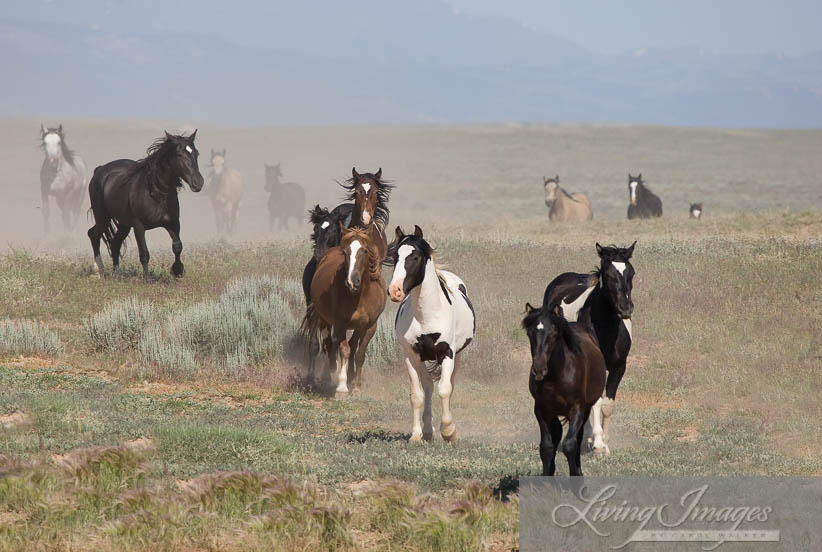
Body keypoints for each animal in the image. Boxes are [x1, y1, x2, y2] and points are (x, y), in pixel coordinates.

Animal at [87, 130, 205, 280]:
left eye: (196, 153)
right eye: (179, 154)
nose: (198, 182)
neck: (156, 193)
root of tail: (100, 170)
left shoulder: (173, 222)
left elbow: (177, 246)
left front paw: (177, 270)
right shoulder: (139, 226)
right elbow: (144, 253)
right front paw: (148, 278)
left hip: (124, 224)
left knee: (115, 243)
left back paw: (118, 274)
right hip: (103, 217)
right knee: (93, 234)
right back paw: (99, 270)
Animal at [300, 224, 388, 396]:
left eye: (365, 251)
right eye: (345, 251)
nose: (352, 281)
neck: (360, 296)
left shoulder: (369, 326)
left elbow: (359, 354)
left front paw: (356, 387)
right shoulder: (340, 324)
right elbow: (344, 350)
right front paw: (341, 387)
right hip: (322, 318)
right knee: (322, 345)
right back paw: (318, 379)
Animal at [392, 224, 480, 444]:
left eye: (415, 257)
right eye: (395, 256)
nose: (394, 291)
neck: (427, 315)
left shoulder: (447, 353)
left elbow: (445, 389)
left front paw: (449, 432)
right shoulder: (411, 356)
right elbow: (417, 395)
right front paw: (416, 435)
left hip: (458, 356)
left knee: (447, 385)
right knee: (428, 386)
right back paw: (428, 430)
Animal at [524, 302, 608, 474]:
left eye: (554, 333)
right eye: (530, 333)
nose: (539, 369)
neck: (556, 377)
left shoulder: (577, 408)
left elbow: (570, 445)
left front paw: (576, 475)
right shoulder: (541, 409)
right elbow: (547, 447)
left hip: (585, 410)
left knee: (578, 438)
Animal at [544, 240, 640, 452]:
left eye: (631, 273)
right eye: (608, 274)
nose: (625, 308)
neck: (606, 328)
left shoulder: (619, 367)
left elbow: (607, 404)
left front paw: (605, 440)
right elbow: (596, 402)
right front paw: (597, 443)